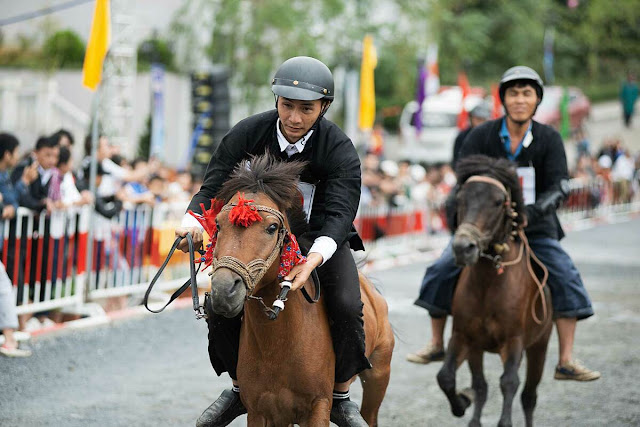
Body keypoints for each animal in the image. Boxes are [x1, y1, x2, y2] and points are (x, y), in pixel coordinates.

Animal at [208, 155, 392, 427]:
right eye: (218, 225)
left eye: (272, 228)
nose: (224, 289)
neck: (278, 344)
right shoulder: (260, 411)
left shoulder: (317, 407)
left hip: (378, 374)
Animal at [438, 155, 552, 426]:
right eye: (461, 198)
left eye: (499, 202)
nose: (463, 248)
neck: (488, 285)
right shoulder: (464, 336)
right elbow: (447, 377)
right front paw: (463, 402)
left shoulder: (514, 341)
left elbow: (509, 382)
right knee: (482, 386)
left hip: (539, 346)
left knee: (529, 396)